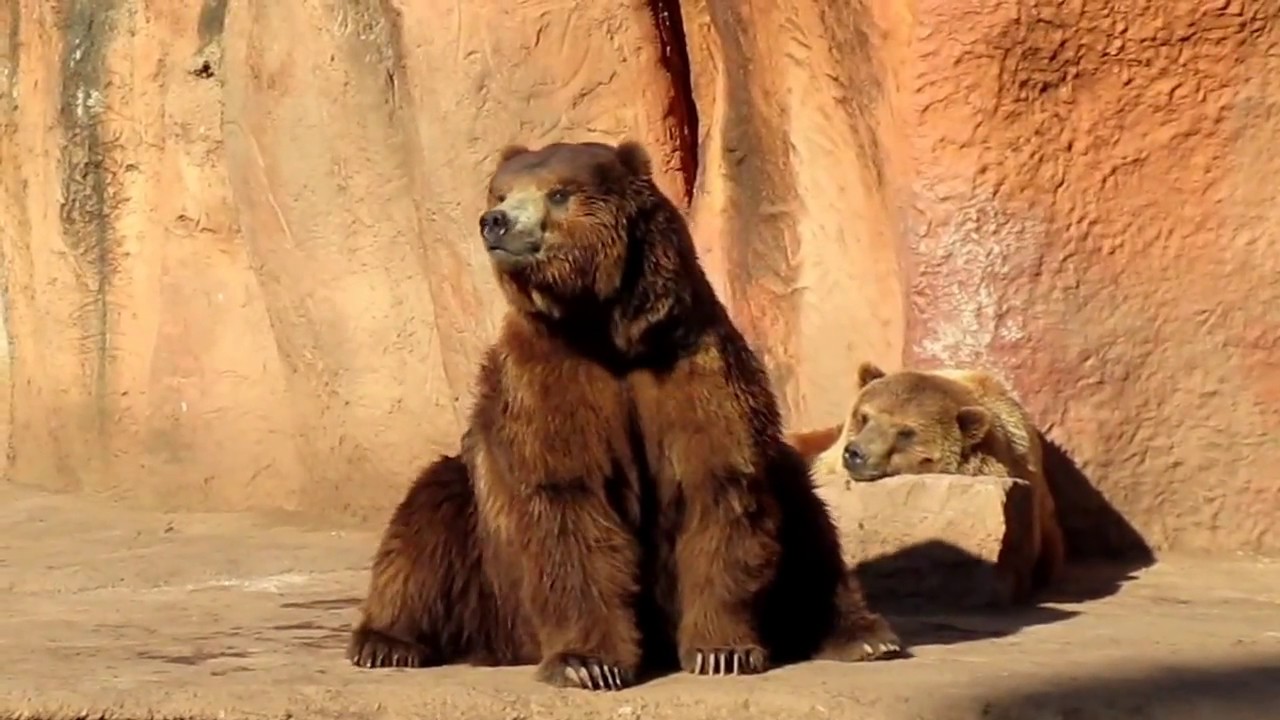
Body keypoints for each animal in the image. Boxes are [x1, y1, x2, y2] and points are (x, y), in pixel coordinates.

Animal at [346, 140, 902, 691]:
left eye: (559, 193)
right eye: (502, 191)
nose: (495, 221)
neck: (608, 329)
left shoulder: (693, 365)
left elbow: (719, 488)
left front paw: (723, 651)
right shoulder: (551, 377)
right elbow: (569, 502)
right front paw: (586, 662)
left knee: (806, 517)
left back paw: (863, 635)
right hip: (487, 568)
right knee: (427, 519)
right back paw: (386, 642)